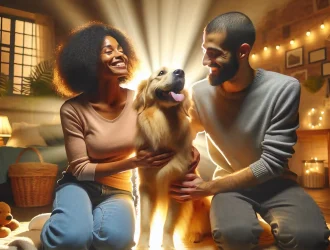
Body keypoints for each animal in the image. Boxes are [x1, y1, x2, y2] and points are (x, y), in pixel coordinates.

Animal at [133, 67, 210, 249]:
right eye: (161, 73)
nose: (180, 72)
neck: (164, 123)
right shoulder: (145, 187)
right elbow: (144, 222)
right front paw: (142, 245)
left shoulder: (178, 186)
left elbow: (168, 224)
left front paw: (168, 245)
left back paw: (195, 235)